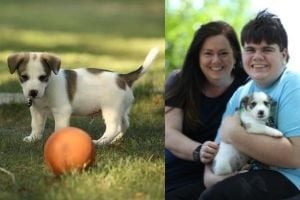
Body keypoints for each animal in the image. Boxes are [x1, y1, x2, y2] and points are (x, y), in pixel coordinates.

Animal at [7, 47, 158, 146]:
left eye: (43, 77)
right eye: (24, 77)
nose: (33, 92)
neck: (47, 88)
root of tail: (123, 77)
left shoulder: (61, 111)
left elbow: (59, 128)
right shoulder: (37, 111)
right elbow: (36, 126)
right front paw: (33, 138)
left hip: (111, 110)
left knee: (113, 127)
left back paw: (101, 141)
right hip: (121, 110)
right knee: (124, 125)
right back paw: (113, 140)